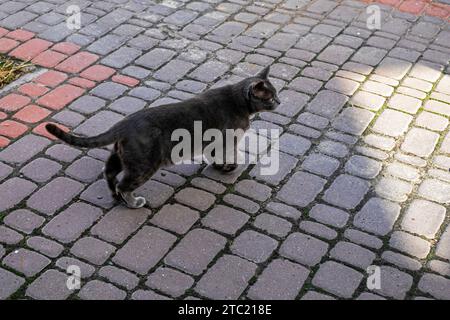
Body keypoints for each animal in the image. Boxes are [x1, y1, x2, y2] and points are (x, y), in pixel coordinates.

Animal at [45, 66, 278, 209]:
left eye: (276, 94)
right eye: (270, 97)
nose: (280, 101)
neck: (239, 102)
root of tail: (124, 123)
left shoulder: (212, 143)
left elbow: (213, 156)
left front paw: (220, 167)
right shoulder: (226, 140)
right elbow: (226, 156)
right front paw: (229, 168)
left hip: (122, 157)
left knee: (109, 173)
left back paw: (115, 197)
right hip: (144, 165)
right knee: (123, 184)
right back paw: (133, 202)